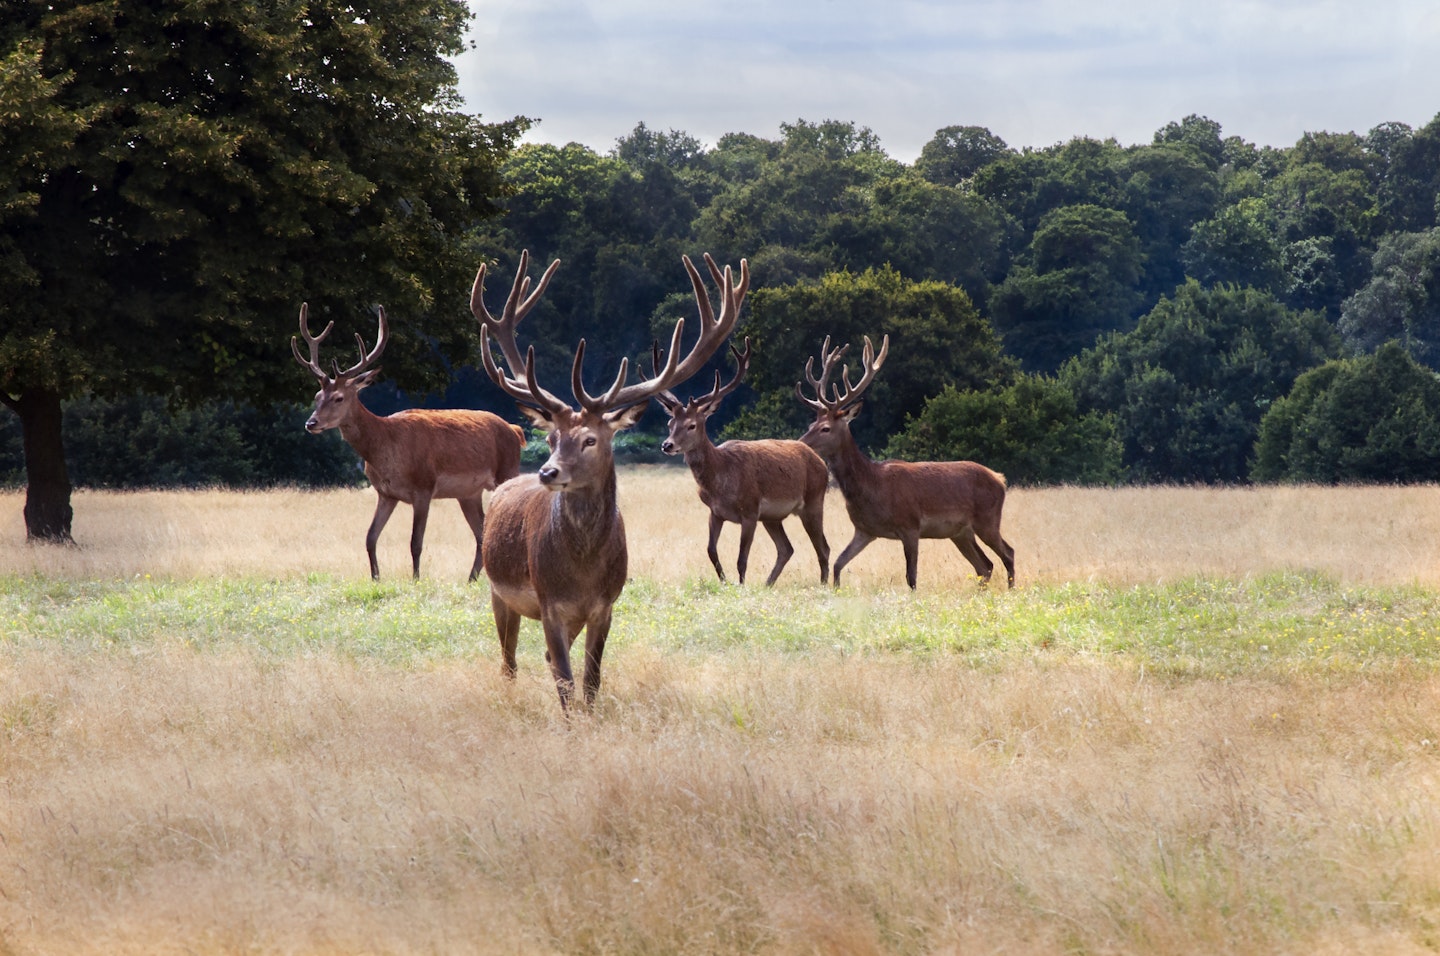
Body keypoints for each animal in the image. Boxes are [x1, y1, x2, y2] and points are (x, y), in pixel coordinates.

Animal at [289, 302, 532, 578]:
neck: (386, 448)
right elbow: (370, 537)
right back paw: (471, 578)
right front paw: (376, 578)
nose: (311, 423)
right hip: (468, 493)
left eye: (338, 397)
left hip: (507, 470)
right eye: (317, 395)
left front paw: (416, 579)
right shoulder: (385, 493)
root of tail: (514, 430)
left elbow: (416, 542)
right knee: (481, 533)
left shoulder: (424, 487)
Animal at [472, 250, 748, 714]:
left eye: (590, 439)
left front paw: (590, 716)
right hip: (498, 590)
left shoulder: (606, 605)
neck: (583, 571)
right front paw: (571, 725)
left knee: (539, 658)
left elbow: (590, 680)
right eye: (551, 438)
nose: (548, 472)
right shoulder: (549, 603)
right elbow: (566, 682)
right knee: (508, 660)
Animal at [656, 335, 829, 590]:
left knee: (823, 547)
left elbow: (741, 558)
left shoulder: (750, 510)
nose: (667, 445)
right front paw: (724, 582)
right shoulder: (715, 512)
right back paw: (768, 584)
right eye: (670, 423)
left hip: (813, 502)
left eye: (692, 425)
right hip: (773, 517)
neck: (720, 482)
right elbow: (711, 551)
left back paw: (827, 585)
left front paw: (741, 586)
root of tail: (821, 462)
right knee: (786, 548)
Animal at [800, 334, 1013, 590]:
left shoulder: (910, 525)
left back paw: (1012, 590)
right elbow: (838, 563)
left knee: (1008, 554)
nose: (800, 443)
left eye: (825, 428)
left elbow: (911, 577)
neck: (872, 487)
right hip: (960, 532)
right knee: (985, 565)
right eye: (811, 424)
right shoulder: (864, 530)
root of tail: (1000, 479)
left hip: (988, 519)